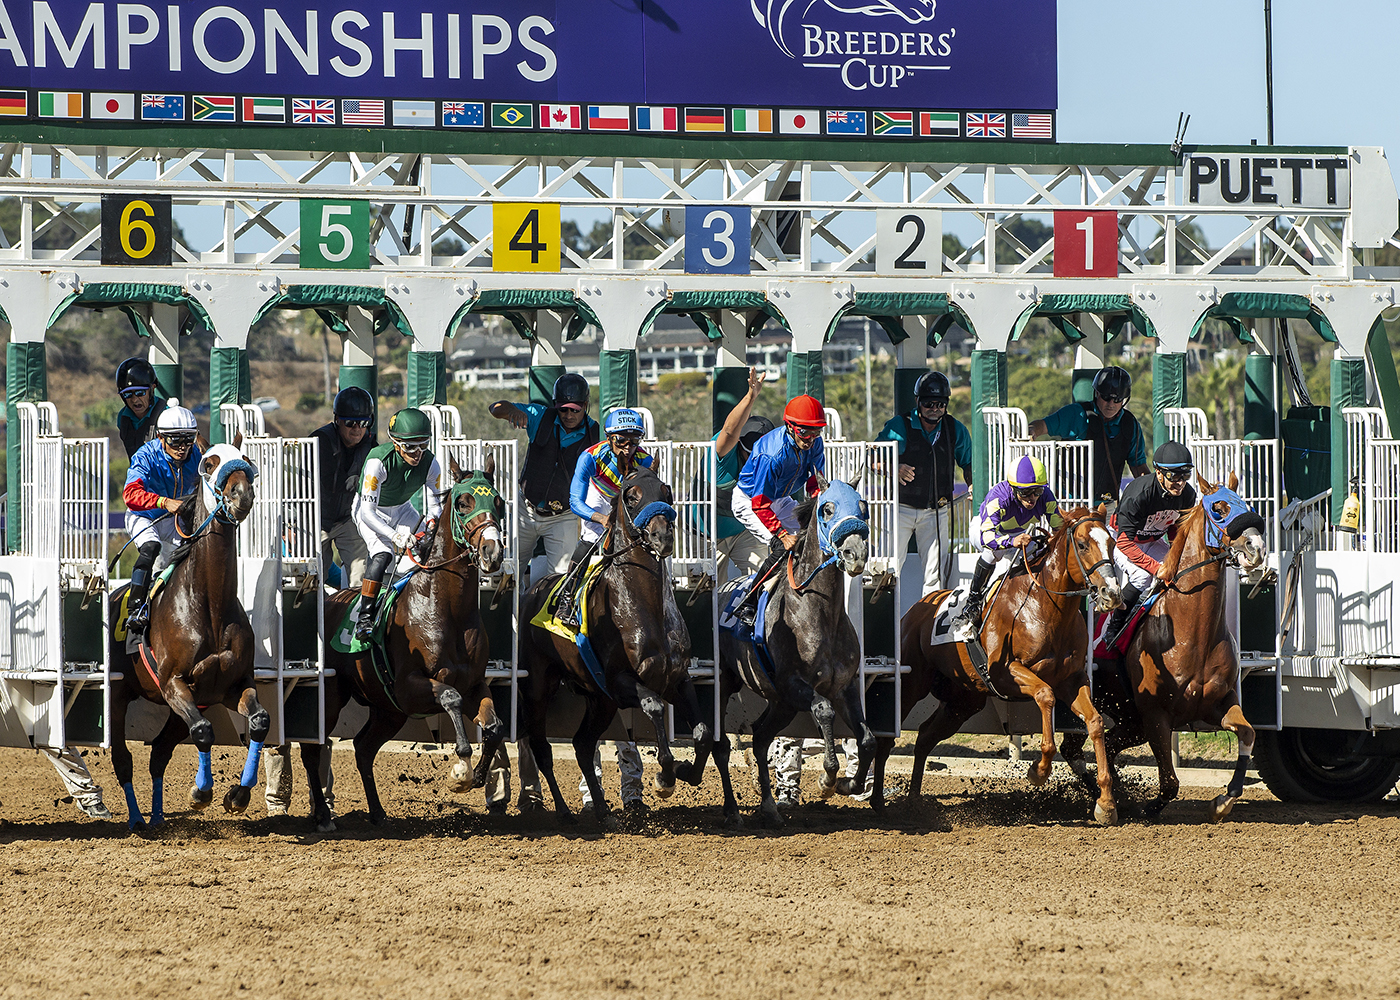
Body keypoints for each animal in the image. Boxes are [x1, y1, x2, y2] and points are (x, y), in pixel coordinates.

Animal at [109, 442, 264, 823]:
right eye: (209, 464)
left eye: (246, 462)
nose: (241, 494)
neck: (208, 605)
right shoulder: (173, 684)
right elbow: (204, 731)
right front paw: (200, 792)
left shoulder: (230, 685)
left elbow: (258, 722)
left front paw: (237, 795)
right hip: (118, 695)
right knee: (123, 758)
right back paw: (137, 818)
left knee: (159, 753)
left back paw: (157, 816)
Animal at [315, 453, 512, 823]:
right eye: (463, 503)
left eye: (498, 502)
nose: (492, 552)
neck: (446, 608)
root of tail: (330, 600)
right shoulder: (409, 687)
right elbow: (450, 698)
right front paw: (460, 771)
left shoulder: (475, 683)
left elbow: (494, 726)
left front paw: (478, 775)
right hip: (333, 696)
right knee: (314, 749)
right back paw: (322, 815)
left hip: (387, 711)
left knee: (363, 749)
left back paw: (377, 812)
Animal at [716, 476, 868, 823]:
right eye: (827, 508)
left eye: (862, 506)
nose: (855, 554)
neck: (818, 611)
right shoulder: (793, 684)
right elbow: (823, 710)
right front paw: (828, 778)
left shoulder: (844, 686)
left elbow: (866, 737)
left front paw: (850, 784)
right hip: (726, 683)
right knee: (720, 745)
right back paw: (732, 810)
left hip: (780, 704)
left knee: (760, 737)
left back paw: (770, 807)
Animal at [873, 507, 1125, 823]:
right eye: (1082, 545)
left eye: (1112, 544)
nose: (1111, 594)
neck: (1043, 607)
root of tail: (917, 608)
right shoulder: (1005, 674)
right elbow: (1045, 695)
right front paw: (1039, 770)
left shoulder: (1072, 680)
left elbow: (1094, 721)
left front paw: (1106, 803)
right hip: (910, 685)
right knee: (887, 741)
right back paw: (878, 802)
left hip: (963, 700)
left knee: (926, 736)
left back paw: (915, 800)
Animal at [1058, 473, 1271, 817]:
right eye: (1219, 509)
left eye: (1248, 507)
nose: (1257, 548)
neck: (1193, 633)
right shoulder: (1156, 715)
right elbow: (1170, 782)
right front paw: (1147, 808)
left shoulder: (1219, 702)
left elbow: (1248, 731)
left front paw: (1224, 800)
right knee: (1077, 747)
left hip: (1129, 720)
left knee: (1099, 745)